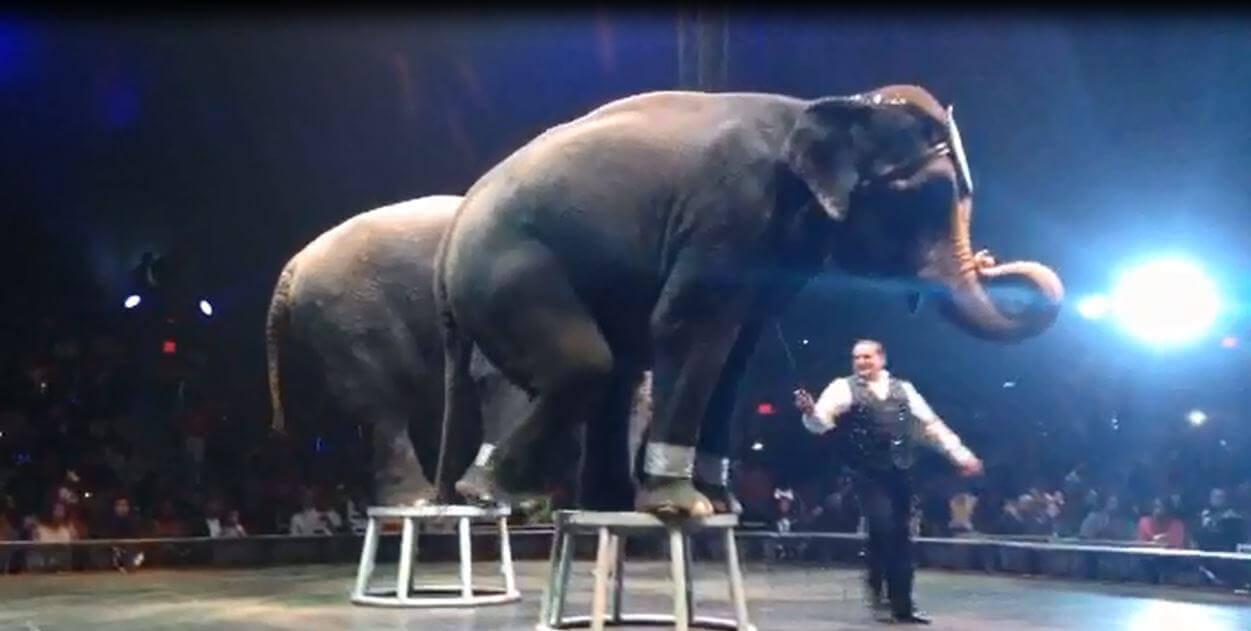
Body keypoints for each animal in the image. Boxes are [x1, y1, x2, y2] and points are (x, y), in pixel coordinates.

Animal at [432, 83, 1065, 518]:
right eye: (928, 195)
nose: (991, 261)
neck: (823, 107)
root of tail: (447, 246)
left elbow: (738, 349)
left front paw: (722, 504)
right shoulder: (732, 207)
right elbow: (690, 325)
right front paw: (683, 505)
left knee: (614, 374)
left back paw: (599, 505)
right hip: (508, 270)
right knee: (587, 367)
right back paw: (494, 494)